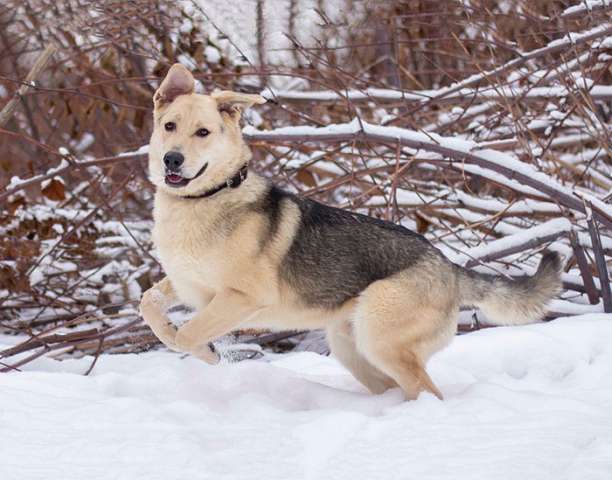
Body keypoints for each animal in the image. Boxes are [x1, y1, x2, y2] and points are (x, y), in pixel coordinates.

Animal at [140, 63, 564, 400]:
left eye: (203, 133)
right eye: (169, 126)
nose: (171, 159)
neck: (204, 200)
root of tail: (450, 268)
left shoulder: (242, 298)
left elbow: (185, 335)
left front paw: (209, 353)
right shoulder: (186, 284)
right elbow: (149, 305)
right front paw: (182, 336)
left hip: (379, 340)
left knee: (427, 390)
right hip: (353, 348)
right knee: (400, 388)